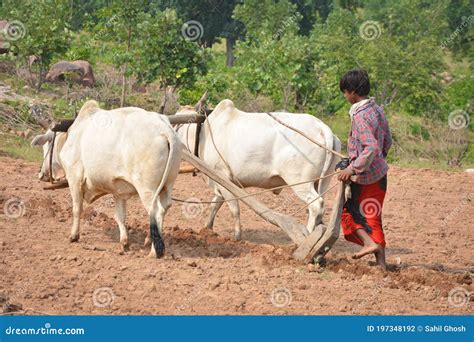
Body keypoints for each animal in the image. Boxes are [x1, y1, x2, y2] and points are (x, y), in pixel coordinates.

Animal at [30, 99, 181, 256]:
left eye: (46, 146)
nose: (41, 174)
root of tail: (165, 129)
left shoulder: (74, 178)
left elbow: (77, 209)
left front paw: (74, 236)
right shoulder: (118, 191)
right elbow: (120, 217)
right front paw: (124, 243)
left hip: (147, 190)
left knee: (156, 211)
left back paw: (154, 251)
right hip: (167, 186)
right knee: (165, 208)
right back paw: (151, 242)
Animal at [176, 98, 338, 238]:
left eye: (177, 123)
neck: (205, 132)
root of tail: (322, 127)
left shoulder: (221, 174)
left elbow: (234, 208)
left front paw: (237, 236)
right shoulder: (221, 181)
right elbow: (215, 204)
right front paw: (207, 228)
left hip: (300, 182)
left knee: (315, 205)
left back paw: (308, 237)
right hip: (322, 181)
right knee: (319, 207)